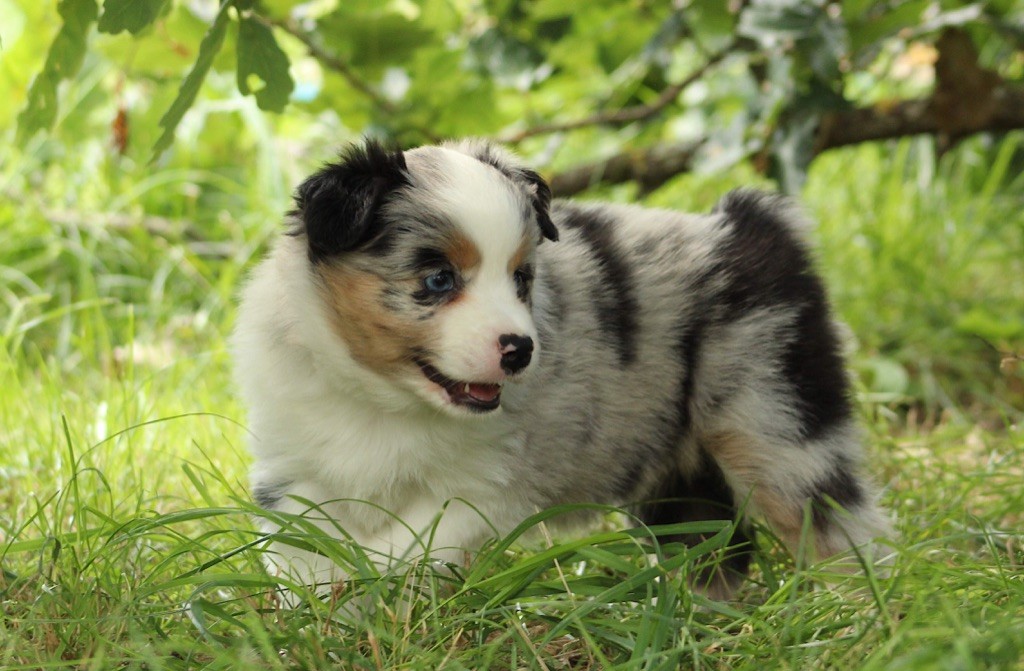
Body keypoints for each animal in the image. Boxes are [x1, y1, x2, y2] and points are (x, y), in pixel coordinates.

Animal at [231, 139, 892, 599]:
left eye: (522, 278)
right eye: (438, 279)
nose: (522, 350)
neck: (383, 399)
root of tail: (744, 224)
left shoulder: (484, 486)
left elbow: (401, 547)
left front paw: (366, 588)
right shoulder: (291, 471)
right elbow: (305, 554)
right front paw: (320, 616)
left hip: (778, 423)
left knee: (844, 533)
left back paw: (861, 620)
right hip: (678, 478)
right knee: (712, 551)